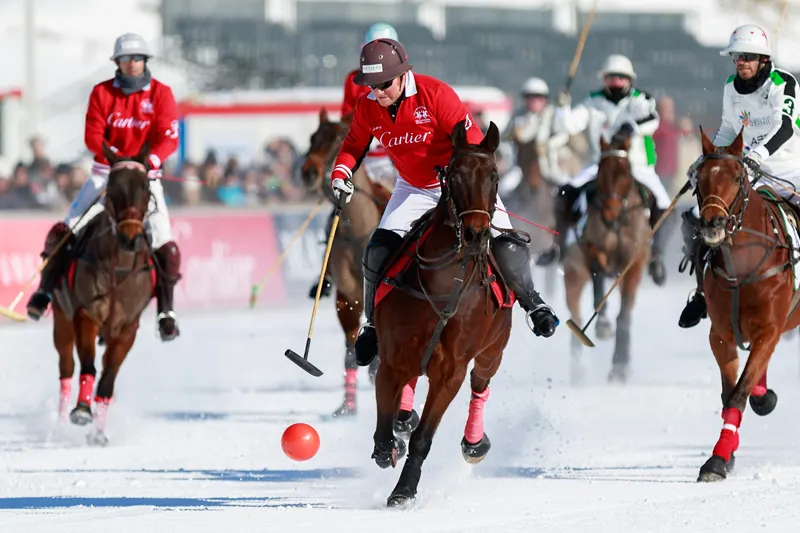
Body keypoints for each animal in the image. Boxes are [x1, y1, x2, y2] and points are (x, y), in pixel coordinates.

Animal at [52, 142, 158, 444]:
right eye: (112, 188)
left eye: (146, 188)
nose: (130, 238)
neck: (119, 269)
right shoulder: (85, 315)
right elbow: (88, 366)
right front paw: (81, 411)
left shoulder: (128, 328)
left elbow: (108, 380)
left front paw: (98, 433)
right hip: (62, 321)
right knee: (66, 368)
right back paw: (60, 423)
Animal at [298, 108, 390, 416]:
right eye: (312, 137)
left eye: (338, 138)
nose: (308, 173)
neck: (356, 230)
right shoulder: (347, 296)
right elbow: (350, 351)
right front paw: (347, 406)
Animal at [372, 120, 516, 508]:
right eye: (453, 175)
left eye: (495, 177)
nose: (477, 234)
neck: (441, 283)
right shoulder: (391, 359)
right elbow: (384, 426)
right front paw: (389, 445)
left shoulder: (450, 372)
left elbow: (424, 437)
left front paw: (403, 491)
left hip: (493, 350)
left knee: (481, 383)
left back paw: (474, 444)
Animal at [564, 136, 648, 382]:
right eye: (600, 172)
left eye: (626, 173)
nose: (609, 214)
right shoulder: (595, 249)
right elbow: (598, 280)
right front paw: (602, 325)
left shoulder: (634, 263)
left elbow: (624, 315)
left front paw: (619, 366)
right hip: (573, 274)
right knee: (576, 314)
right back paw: (577, 370)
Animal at [692, 127, 792, 480]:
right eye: (699, 178)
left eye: (737, 177)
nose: (712, 223)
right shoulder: (720, 333)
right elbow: (730, 394)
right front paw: (725, 454)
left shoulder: (770, 328)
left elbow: (738, 393)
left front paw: (717, 460)